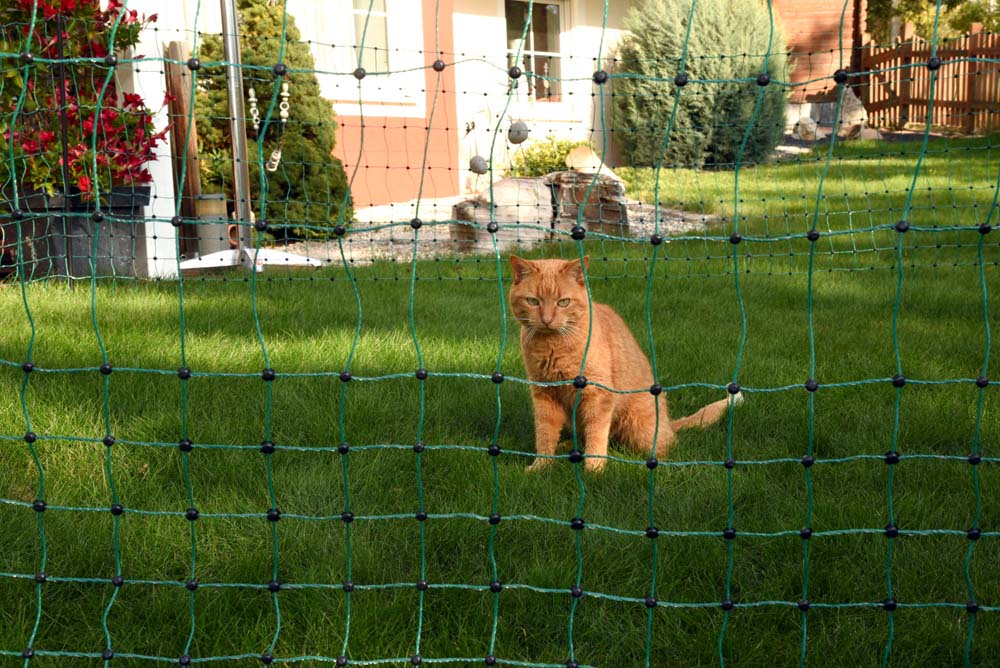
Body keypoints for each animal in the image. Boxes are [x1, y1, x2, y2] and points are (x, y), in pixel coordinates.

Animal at [512, 253, 740, 472]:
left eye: (563, 302)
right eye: (533, 301)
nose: (547, 320)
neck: (553, 345)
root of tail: (668, 423)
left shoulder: (597, 395)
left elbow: (596, 434)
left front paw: (594, 468)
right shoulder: (544, 394)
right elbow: (545, 434)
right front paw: (542, 465)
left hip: (639, 428)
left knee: (662, 446)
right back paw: (566, 447)